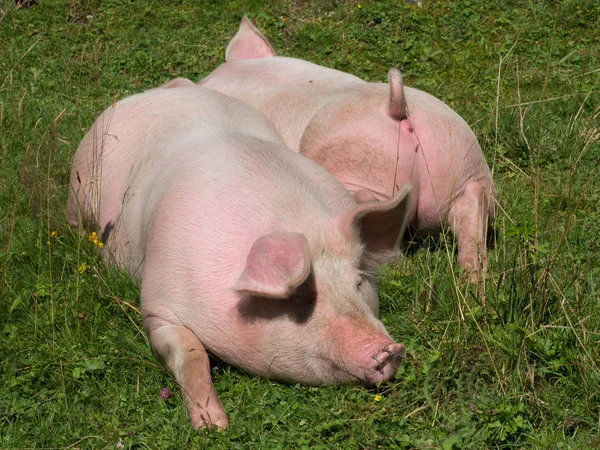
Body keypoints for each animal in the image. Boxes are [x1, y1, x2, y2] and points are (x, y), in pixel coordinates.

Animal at [67, 80, 412, 428]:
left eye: (358, 283)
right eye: (301, 296)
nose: (389, 349)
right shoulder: (157, 305)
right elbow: (190, 351)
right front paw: (214, 426)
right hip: (80, 183)